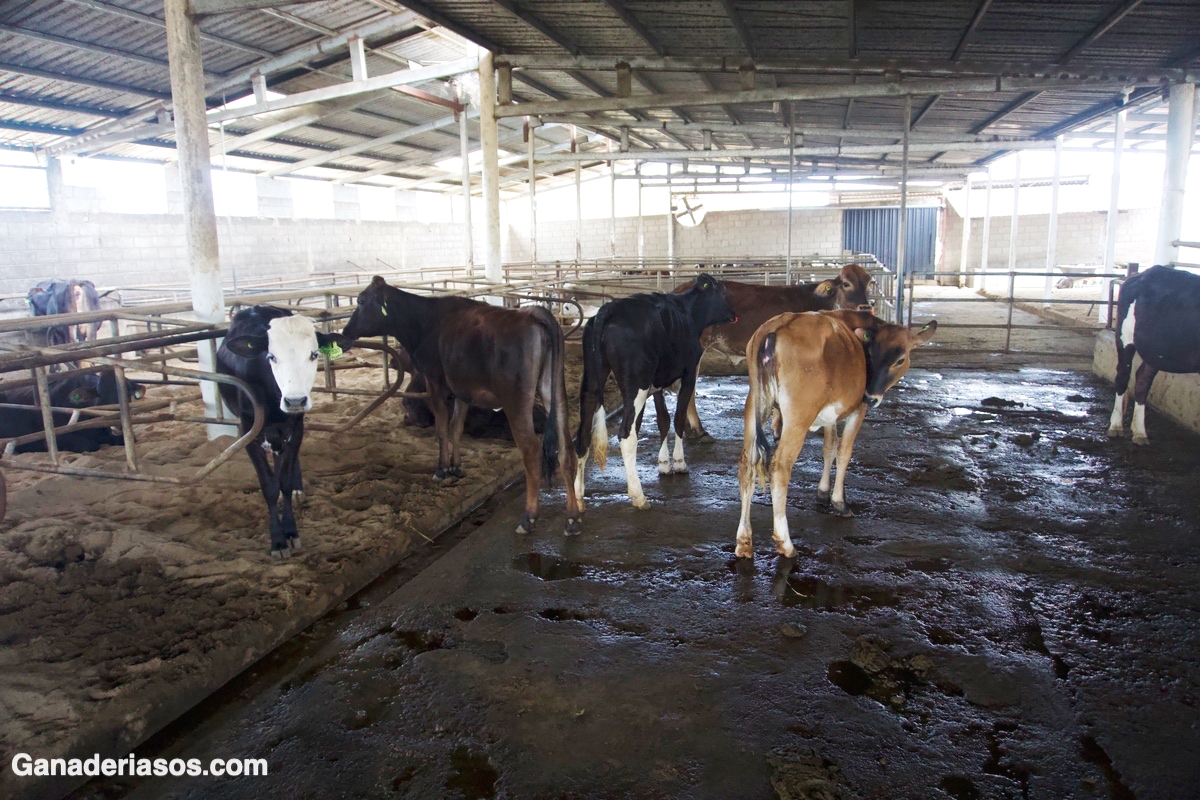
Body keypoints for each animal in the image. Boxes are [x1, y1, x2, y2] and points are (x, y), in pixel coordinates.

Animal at [216, 307, 345, 556]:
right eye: (271, 357)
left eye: (314, 354)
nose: (295, 400)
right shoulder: (248, 434)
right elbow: (269, 486)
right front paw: (277, 539)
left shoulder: (296, 429)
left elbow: (283, 482)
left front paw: (291, 531)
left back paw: (297, 489)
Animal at [729, 309, 936, 561]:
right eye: (871, 353)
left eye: (899, 359)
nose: (871, 396)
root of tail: (776, 327)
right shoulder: (857, 409)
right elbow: (844, 450)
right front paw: (839, 501)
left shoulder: (829, 413)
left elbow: (829, 446)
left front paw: (822, 492)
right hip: (799, 414)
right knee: (779, 468)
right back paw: (785, 544)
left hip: (754, 404)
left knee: (747, 465)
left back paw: (744, 541)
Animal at [1104, 266, 1200, 448]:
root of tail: (1140, 274)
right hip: (1125, 337)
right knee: (1122, 377)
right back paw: (1116, 426)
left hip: (1153, 352)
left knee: (1142, 380)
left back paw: (1140, 432)